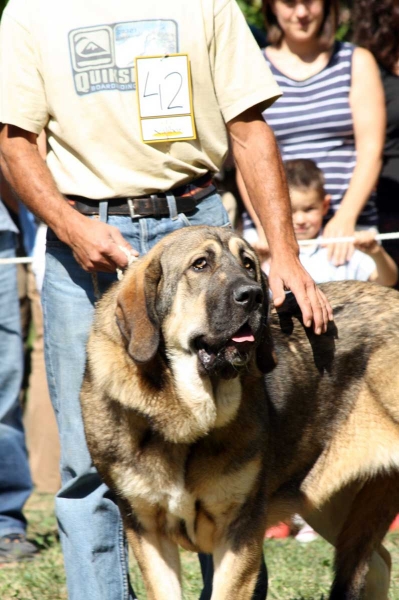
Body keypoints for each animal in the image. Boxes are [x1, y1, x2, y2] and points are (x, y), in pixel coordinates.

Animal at [80, 226, 399, 600]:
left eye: (249, 264)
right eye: (200, 265)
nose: (255, 295)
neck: (187, 417)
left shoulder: (239, 531)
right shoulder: (147, 530)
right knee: (377, 560)